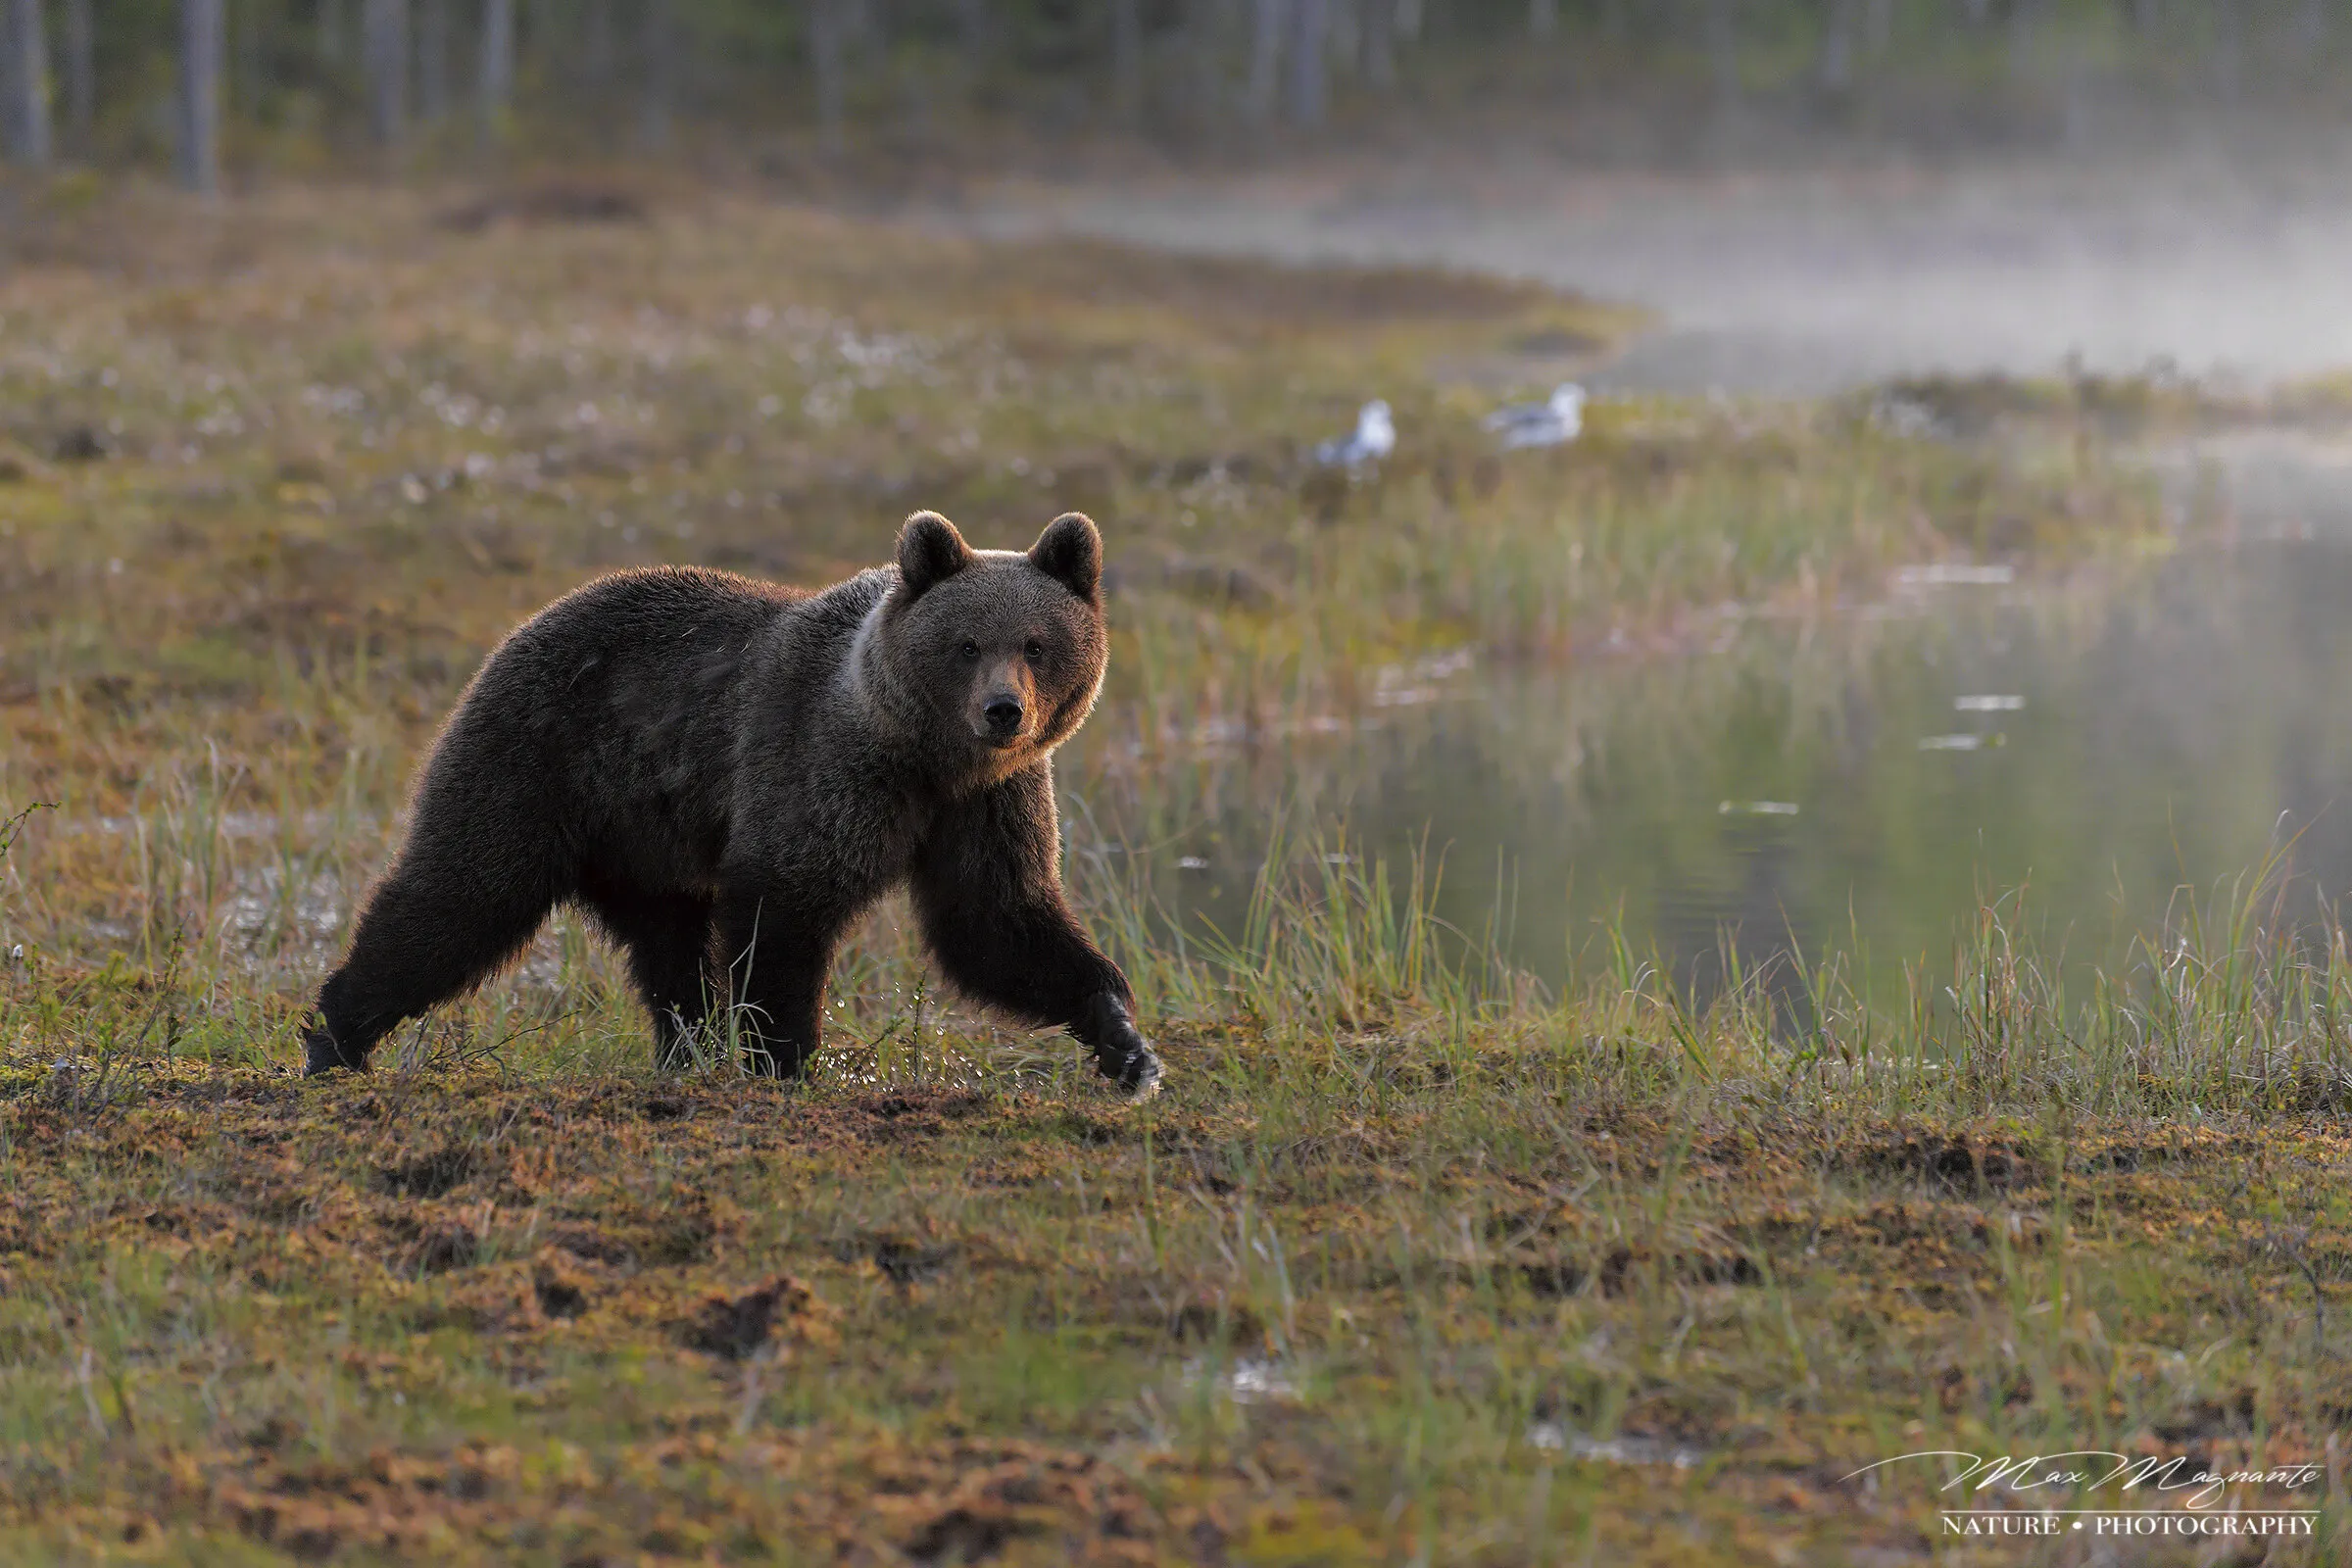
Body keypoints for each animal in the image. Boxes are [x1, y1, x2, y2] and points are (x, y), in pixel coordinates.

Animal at [299, 509, 1162, 1097]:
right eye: (967, 644)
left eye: (1038, 643)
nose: (1002, 711)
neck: (923, 758)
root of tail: (523, 627)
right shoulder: (822, 769)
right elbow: (783, 915)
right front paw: (787, 1061)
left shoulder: (987, 804)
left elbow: (998, 921)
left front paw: (1126, 1043)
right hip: (538, 761)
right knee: (462, 895)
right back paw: (335, 1035)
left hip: (644, 838)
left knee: (666, 951)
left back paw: (685, 1052)